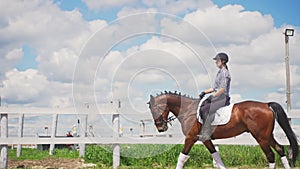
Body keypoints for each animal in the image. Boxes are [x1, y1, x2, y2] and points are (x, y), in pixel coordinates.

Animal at [148, 92, 298, 168]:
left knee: (271, 155)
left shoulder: (191, 137)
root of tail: (266, 105)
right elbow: (216, 156)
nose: (161, 128)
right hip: (267, 136)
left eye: (154, 108)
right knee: (280, 149)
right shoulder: (206, 139)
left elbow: (182, 157)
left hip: (261, 137)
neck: (188, 110)